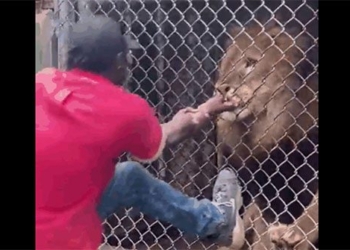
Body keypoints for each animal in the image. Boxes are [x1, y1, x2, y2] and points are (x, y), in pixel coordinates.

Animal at [215, 21, 318, 250]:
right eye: (225, 64)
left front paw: (295, 234)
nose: (219, 88)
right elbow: (263, 231)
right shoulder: (266, 187)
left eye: (251, 63)